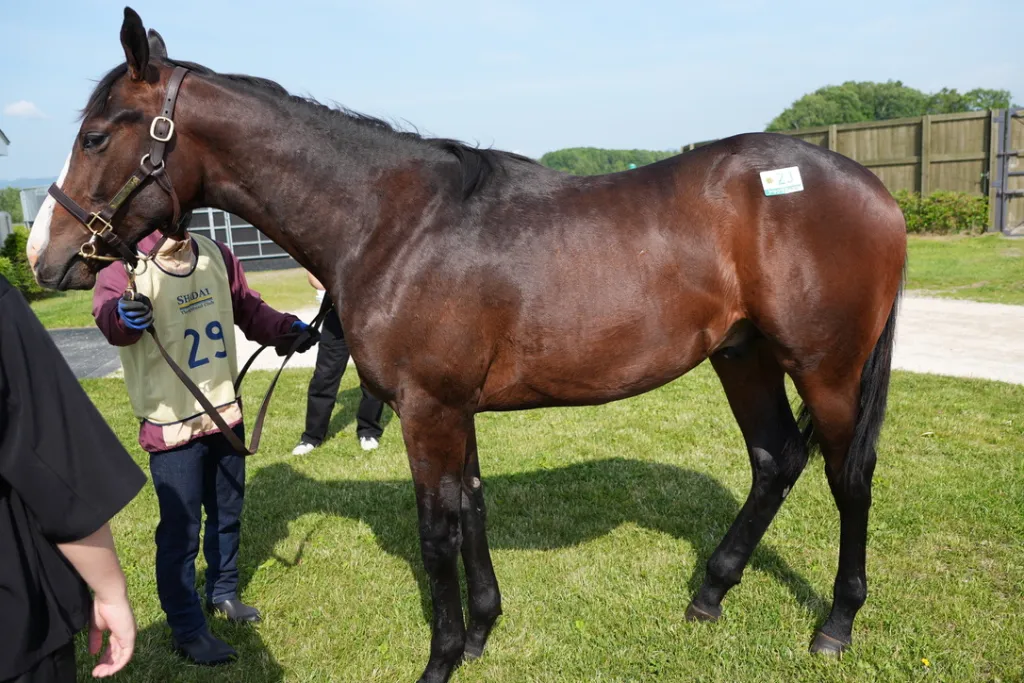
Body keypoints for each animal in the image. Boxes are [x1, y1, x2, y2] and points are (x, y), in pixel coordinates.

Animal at [28, 9, 906, 682]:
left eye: (99, 134)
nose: (45, 254)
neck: (394, 222)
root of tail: (872, 187)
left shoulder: (427, 410)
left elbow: (436, 530)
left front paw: (441, 657)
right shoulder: (455, 409)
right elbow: (472, 505)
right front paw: (483, 631)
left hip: (826, 370)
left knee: (848, 475)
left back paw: (836, 622)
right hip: (743, 357)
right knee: (775, 459)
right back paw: (710, 593)